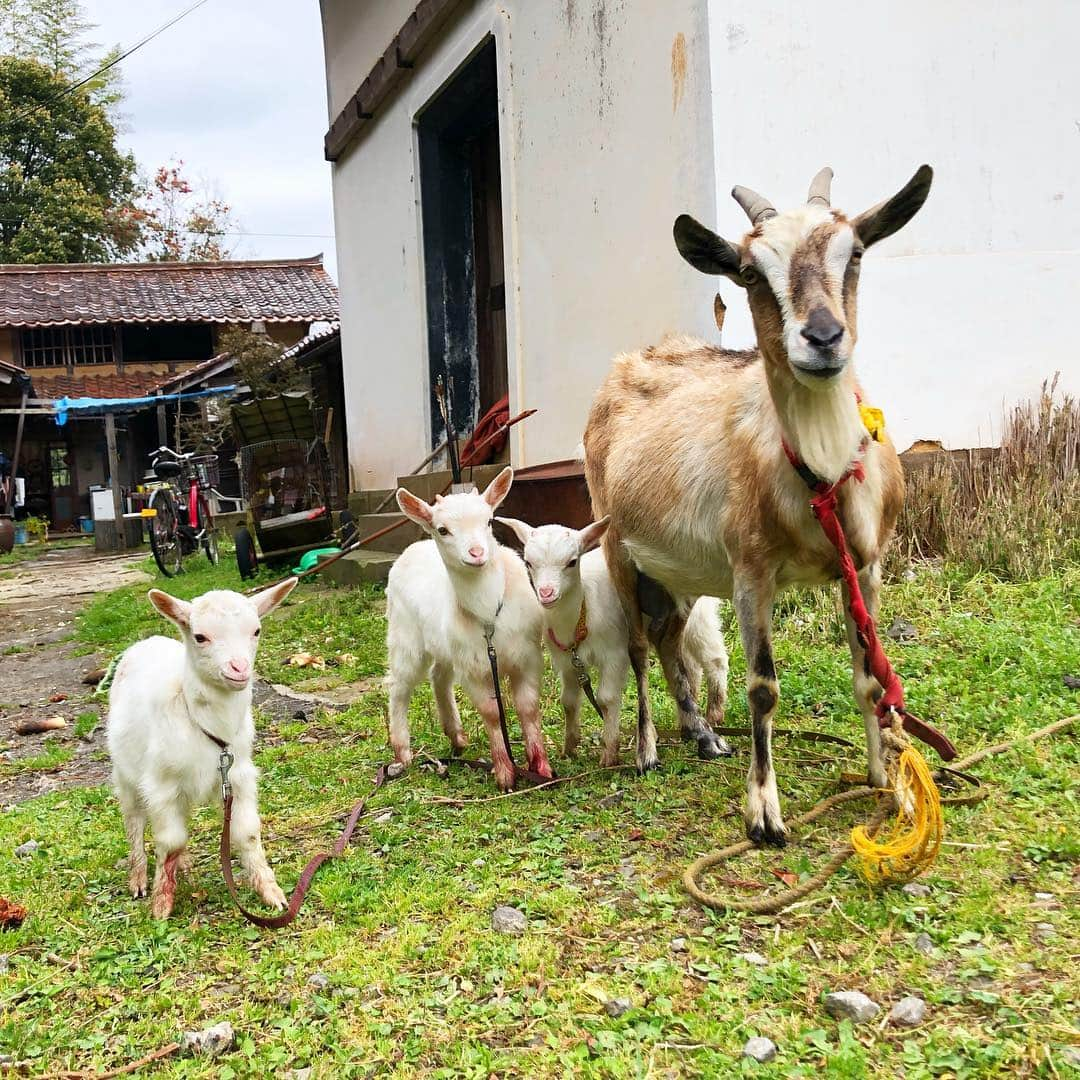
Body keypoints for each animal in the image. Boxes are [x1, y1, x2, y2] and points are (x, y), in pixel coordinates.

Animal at [109, 583, 295, 920]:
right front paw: (161, 905)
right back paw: (139, 878)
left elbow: (247, 833)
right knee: (134, 820)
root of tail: (146, 642)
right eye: (200, 636)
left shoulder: (237, 775)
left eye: (256, 630)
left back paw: (182, 865)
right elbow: (170, 841)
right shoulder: (161, 784)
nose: (239, 669)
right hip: (126, 775)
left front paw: (272, 894)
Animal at [386, 466, 548, 794]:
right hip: (405, 637)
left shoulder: (526, 656)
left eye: (488, 521)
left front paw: (540, 766)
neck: (489, 615)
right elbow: (491, 713)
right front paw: (505, 772)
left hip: (446, 647)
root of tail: (412, 549)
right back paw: (402, 751)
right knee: (399, 687)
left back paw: (456, 736)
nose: (476, 553)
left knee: (438, 676)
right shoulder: (473, 668)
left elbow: (527, 707)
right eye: (442, 529)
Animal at [501, 516, 730, 764]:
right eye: (529, 563)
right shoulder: (567, 661)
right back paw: (688, 724)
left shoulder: (614, 654)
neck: (582, 610)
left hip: (698, 614)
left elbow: (606, 698)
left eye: (572, 562)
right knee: (688, 666)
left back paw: (715, 715)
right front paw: (569, 748)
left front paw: (609, 753)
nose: (546, 593)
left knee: (714, 658)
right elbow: (568, 701)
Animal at [587, 166, 933, 842]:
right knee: (640, 647)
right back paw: (646, 749)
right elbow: (763, 688)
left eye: (855, 252)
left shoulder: (865, 566)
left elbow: (869, 679)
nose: (823, 338)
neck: (819, 476)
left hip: (681, 568)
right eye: (749, 271)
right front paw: (764, 812)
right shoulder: (752, 571)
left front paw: (885, 781)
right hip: (618, 546)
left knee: (669, 639)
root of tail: (628, 362)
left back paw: (702, 736)